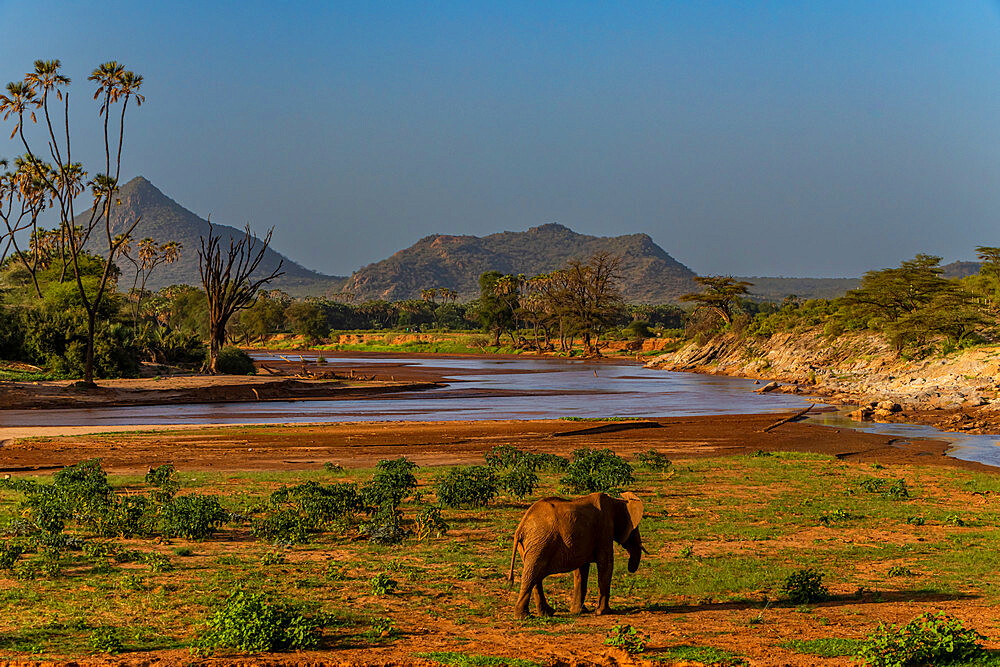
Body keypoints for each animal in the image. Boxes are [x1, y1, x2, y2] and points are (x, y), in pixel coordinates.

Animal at [508, 490, 648, 620]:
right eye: (634, 529)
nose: (631, 568)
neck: (616, 501)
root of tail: (520, 528)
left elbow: (581, 570)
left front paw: (579, 611)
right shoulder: (604, 530)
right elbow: (606, 564)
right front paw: (604, 612)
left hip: (533, 545)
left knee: (534, 575)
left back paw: (546, 613)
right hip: (540, 542)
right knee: (532, 575)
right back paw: (524, 616)